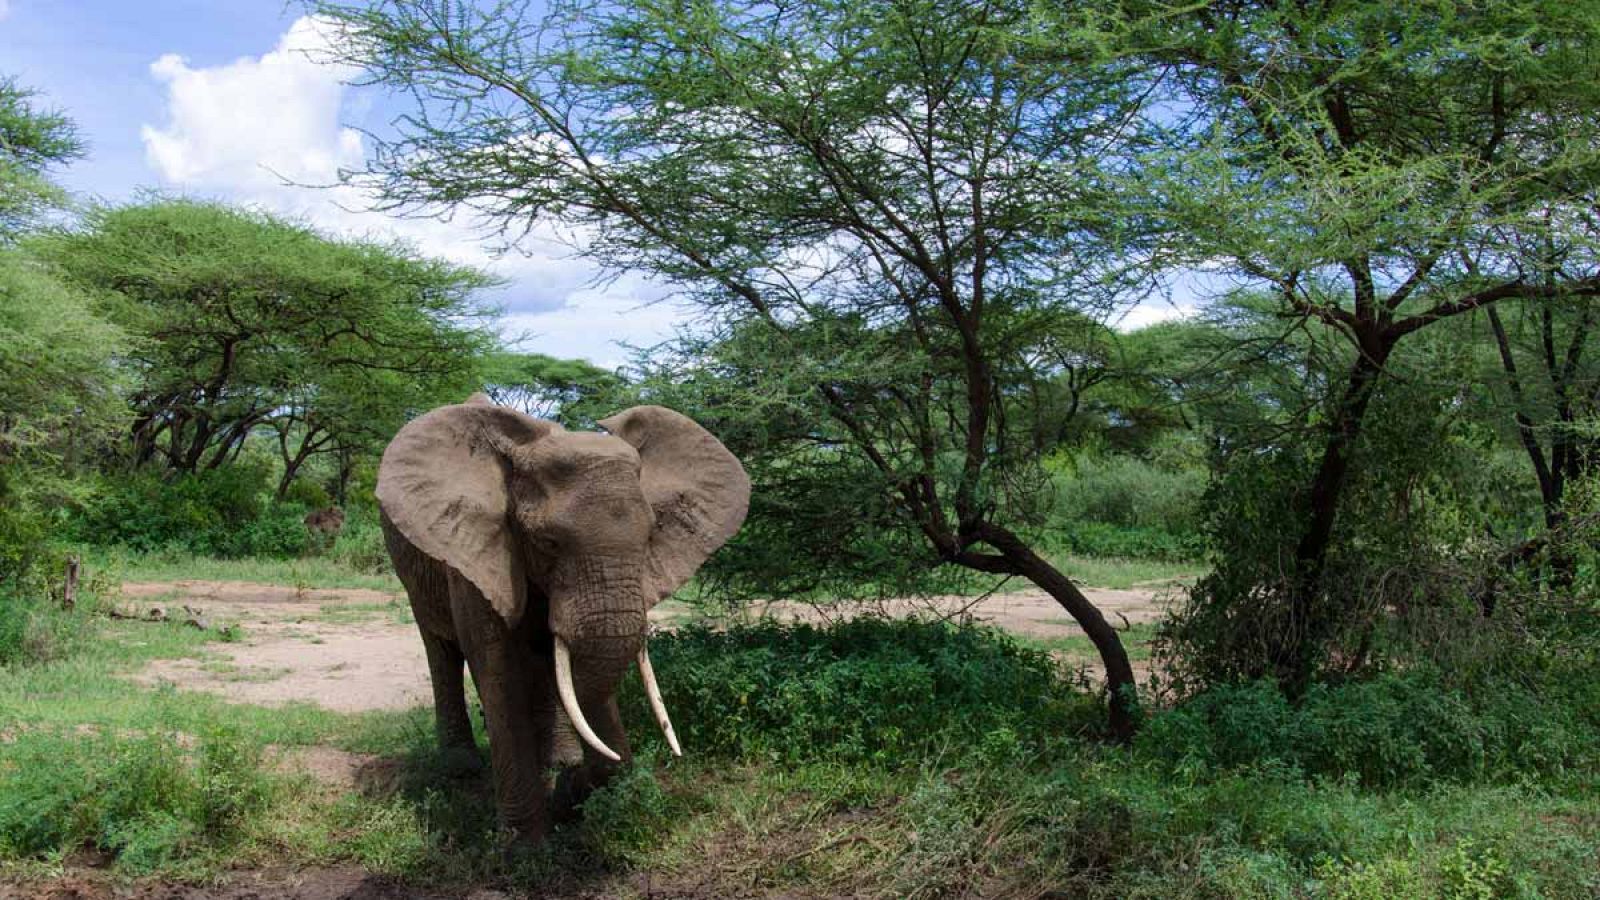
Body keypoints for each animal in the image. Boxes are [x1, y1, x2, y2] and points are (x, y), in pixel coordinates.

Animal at [375, 393, 749, 844]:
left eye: (650, 536)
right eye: (547, 542)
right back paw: (463, 768)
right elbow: (498, 670)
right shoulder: (480, 550)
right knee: (442, 649)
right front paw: (526, 846)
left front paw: (570, 781)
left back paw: (557, 760)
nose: (572, 787)